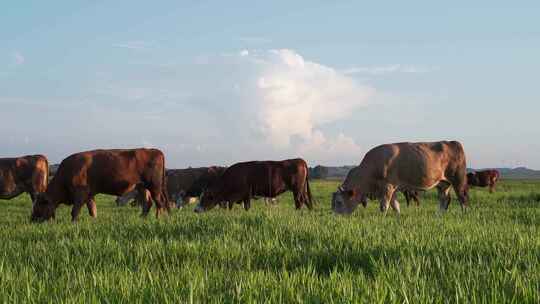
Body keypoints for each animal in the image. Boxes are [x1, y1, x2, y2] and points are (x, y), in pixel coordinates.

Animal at [31, 148, 167, 222]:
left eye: (39, 205)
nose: (32, 220)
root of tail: (155, 151)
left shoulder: (80, 193)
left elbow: (75, 211)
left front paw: (73, 223)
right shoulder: (89, 195)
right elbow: (92, 210)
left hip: (154, 187)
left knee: (159, 202)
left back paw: (158, 218)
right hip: (142, 187)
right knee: (148, 203)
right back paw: (142, 218)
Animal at [332, 141, 466, 215]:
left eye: (339, 202)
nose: (335, 219)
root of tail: (453, 142)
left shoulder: (387, 186)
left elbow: (384, 206)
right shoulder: (393, 188)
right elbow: (395, 205)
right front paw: (398, 217)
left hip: (458, 180)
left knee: (462, 198)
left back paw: (464, 214)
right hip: (443, 183)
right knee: (444, 200)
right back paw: (438, 215)